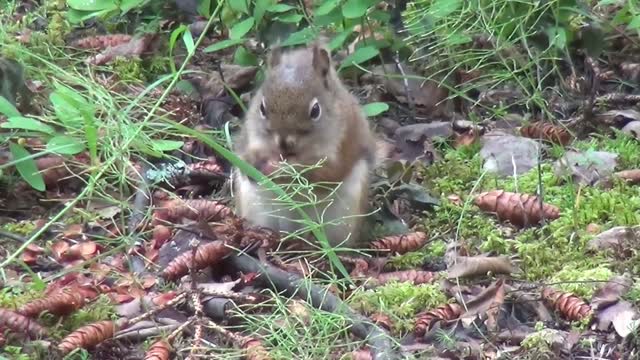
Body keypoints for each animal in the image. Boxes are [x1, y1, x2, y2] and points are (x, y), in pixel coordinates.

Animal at [232, 39, 378, 248]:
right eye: (261, 107)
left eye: (315, 110)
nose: (284, 142)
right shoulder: (249, 139)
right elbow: (246, 158)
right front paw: (255, 165)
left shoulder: (344, 144)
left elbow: (326, 174)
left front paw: (281, 170)